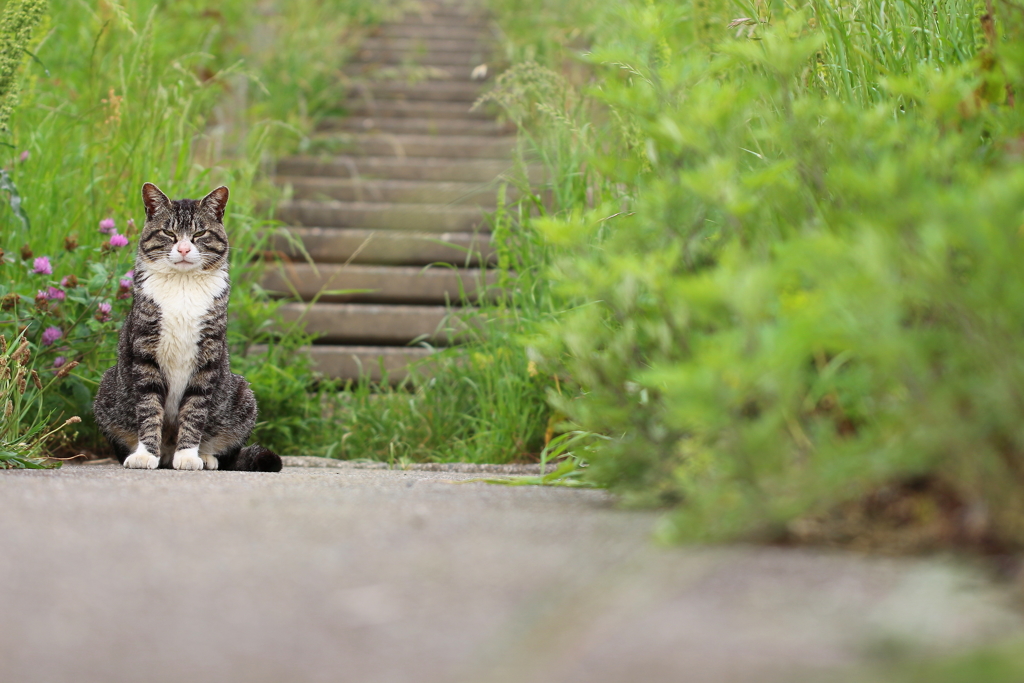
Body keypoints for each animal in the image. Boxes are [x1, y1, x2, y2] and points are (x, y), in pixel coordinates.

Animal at [93, 180, 280, 471]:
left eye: (200, 233)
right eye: (168, 232)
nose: (182, 249)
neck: (182, 285)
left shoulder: (208, 357)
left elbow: (194, 411)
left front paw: (188, 456)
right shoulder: (144, 353)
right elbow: (149, 408)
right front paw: (146, 454)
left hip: (243, 395)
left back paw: (205, 457)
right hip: (106, 389)